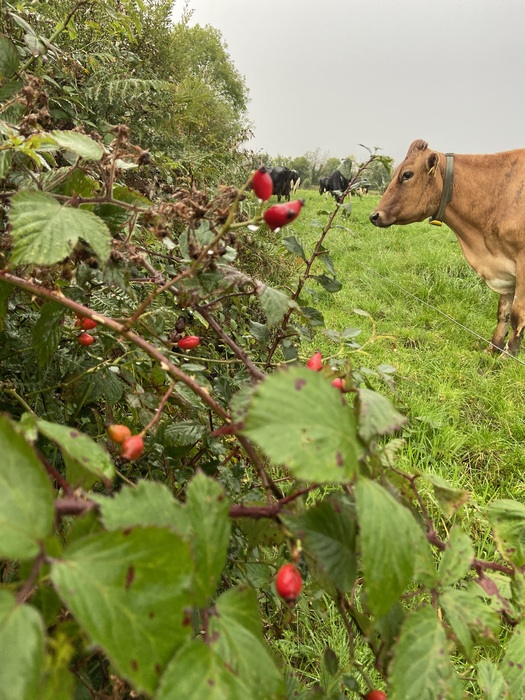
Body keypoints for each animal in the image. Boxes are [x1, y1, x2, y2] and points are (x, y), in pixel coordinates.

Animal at [368, 138, 525, 356]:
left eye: (407, 174)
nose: (374, 215)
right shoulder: (504, 267)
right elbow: (504, 312)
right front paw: (492, 350)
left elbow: (518, 314)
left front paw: (508, 355)